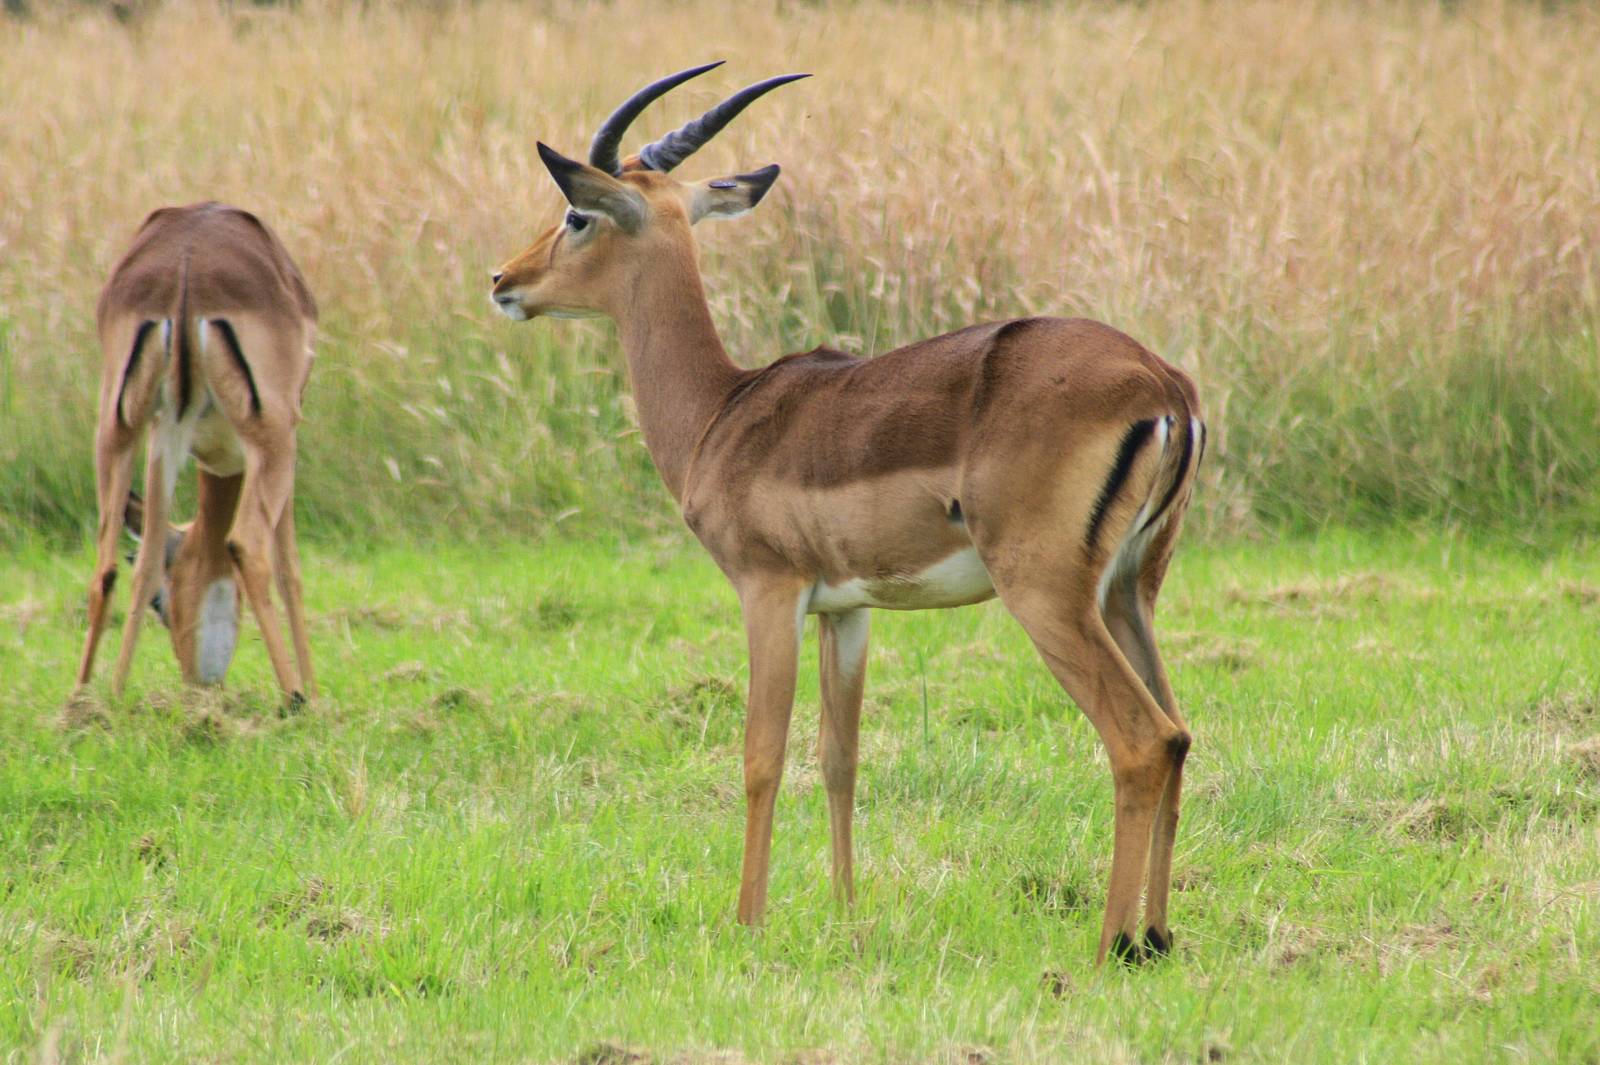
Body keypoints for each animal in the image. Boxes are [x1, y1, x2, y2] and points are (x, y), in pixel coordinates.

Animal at [75, 202, 317, 708]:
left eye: (161, 602)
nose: (196, 681)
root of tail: (186, 265)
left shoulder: (164, 433)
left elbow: (147, 559)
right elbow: (291, 570)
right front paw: (315, 692)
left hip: (116, 428)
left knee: (104, 569)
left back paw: (87, 705)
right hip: (276, 437)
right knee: (248, 546)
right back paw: (295, 699)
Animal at [490, 64, 1205, 965]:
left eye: (577, 215)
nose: (503, 281)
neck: (723, 411)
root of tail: (1164, 384)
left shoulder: (770, 591)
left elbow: (761, 754)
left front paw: (747, 921)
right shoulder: (848, 608)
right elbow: (840, 756)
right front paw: (844, 912)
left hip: (1048, 595)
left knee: (1140, 739)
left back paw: (1111, 942)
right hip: (1129, 591)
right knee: (1179, 732)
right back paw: (1157, 933)